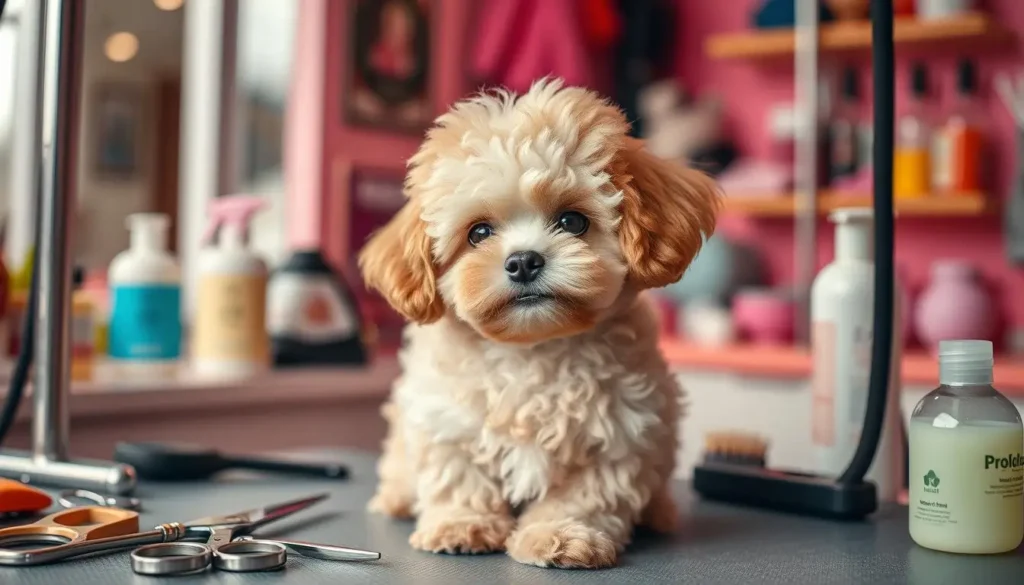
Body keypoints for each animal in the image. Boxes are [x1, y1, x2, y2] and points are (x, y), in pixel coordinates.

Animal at [358, 77, 720, 569]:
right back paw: (396, 498)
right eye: (478, 233)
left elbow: (585, 494)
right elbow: (459, 475)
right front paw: (462, 525)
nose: (523, 261)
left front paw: (562, 534)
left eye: (572, 221)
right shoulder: (445, 418)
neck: (532, 350)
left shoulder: (623, 431)